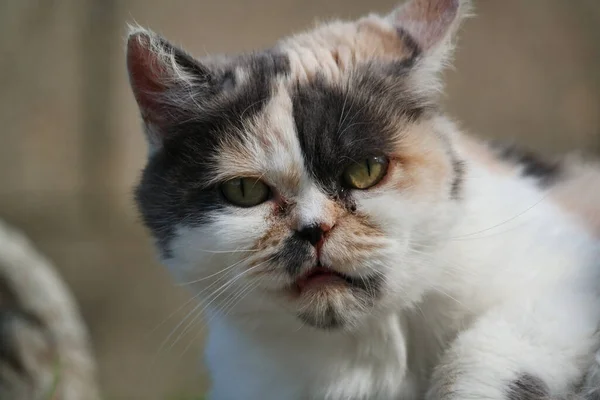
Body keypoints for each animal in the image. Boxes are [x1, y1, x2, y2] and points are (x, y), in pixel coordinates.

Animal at [126, 0, 600, 398]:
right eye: (245, 191)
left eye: (367, 170)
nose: (314, 229)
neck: (370, 348)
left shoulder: (566, 278)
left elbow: (485, 359)